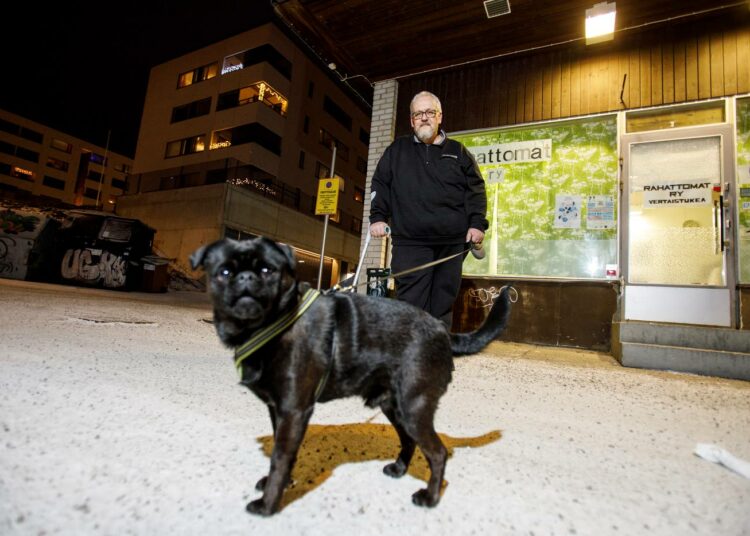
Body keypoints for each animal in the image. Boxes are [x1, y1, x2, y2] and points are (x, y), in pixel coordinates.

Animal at [191, 238, 516, 516]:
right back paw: (399, 470)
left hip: (413, 408)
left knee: (437, 453)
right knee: (410, 442)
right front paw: (280, 483)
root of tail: (443, 331)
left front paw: (269, 502)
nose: (246, 278)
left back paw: (430, 497)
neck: (272, 324)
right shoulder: (279, 411)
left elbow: (280, 458)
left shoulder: (293, 411)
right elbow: (286, 454)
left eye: (268, 270)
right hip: (394, 407)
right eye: (223, 272)